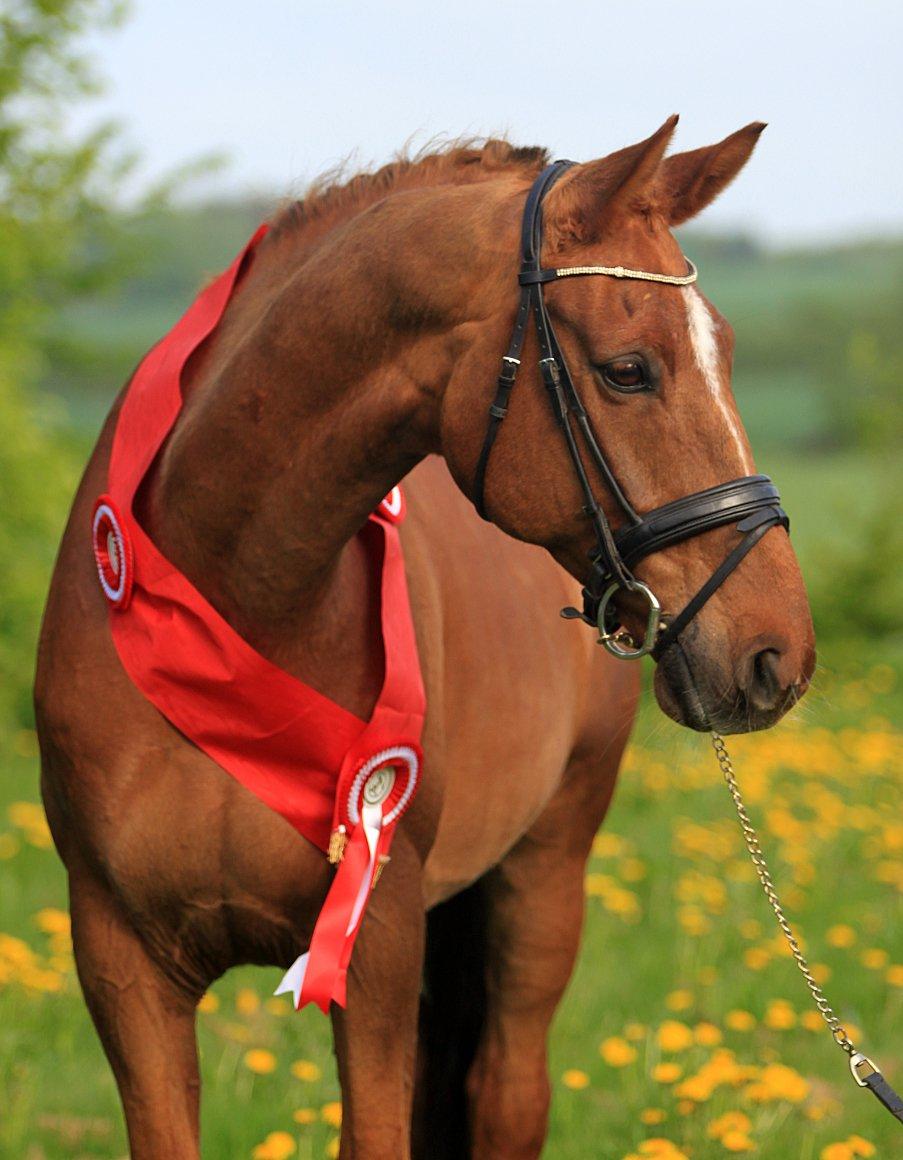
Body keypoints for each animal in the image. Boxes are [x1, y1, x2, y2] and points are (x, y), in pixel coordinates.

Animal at [35, 120, 812, 1160]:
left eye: (723, 350)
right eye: (626, 369)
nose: (776, 656)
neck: (235, 604)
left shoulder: (376, 953)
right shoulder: (123, 968)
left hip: (543, 875)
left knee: (506, 1095)